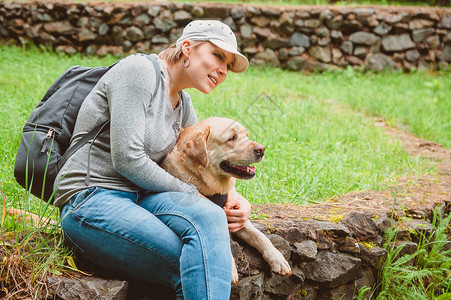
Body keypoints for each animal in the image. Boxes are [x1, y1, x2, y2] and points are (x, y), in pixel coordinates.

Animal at [162, 116, 294, 284]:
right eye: (232, 138)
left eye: (246, 135)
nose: (262, 149)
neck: (214, 187)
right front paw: (229, 269)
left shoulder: (236, 214)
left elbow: (260, 236)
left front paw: (278, 259)